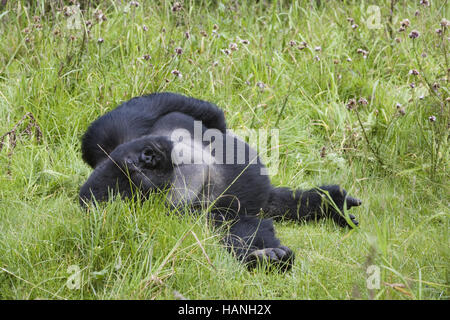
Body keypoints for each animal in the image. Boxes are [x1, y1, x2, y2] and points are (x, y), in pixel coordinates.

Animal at [79, 92, 360, 270]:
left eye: (136, 163)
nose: (147, 157)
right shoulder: (181, 212)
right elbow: (232, 228)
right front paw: (261, 257)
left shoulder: (114, 137)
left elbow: (173, 107)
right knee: (265, 208)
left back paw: (332, 203)